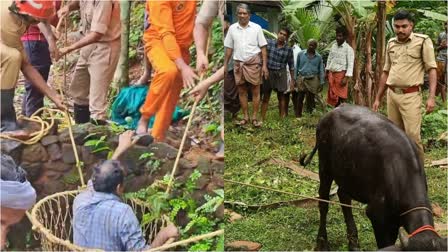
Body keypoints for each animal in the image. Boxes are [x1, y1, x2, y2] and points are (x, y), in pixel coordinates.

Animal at [300, 104, 446, 250]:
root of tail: (331, 112)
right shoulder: (378, 216)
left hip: (347, 174)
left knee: (343, 196)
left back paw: (353, 243)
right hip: (324, 166)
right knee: (323, 201)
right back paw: (322, 242)